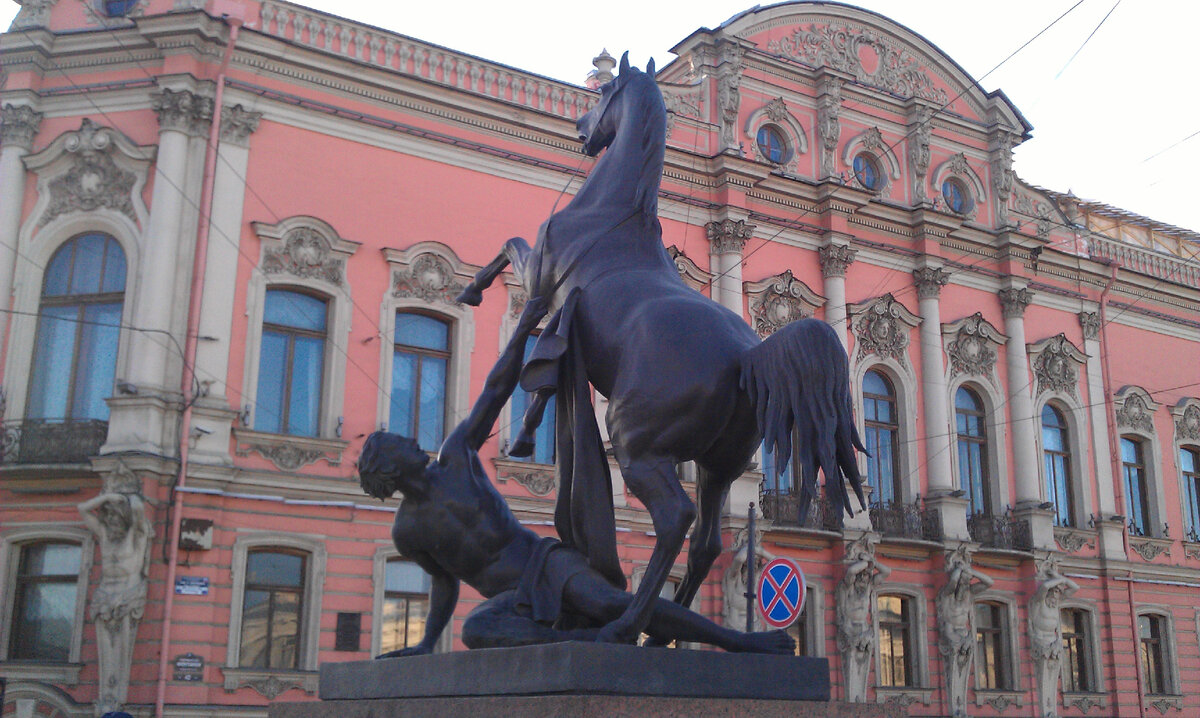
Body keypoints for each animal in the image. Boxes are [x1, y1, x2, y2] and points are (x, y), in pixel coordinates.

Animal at [453, 53, 859, 643]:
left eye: (605, 97)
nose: (581, 130)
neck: (611, 210)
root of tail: (749, 358)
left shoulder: (541, 288)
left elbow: (511, 257)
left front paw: (473, 293)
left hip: (636, 444)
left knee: (674, 520)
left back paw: (624, 627)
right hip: (719, 466)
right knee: (706, 542)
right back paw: (665, 631)